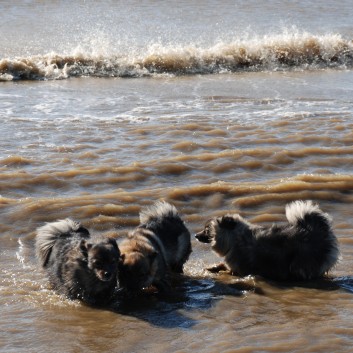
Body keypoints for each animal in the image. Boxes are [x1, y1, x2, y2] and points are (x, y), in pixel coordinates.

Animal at [194, 201, 340, 280]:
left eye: (207, 230)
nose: (195, 235)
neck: (234, 239)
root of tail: (317, 229)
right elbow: (220, 265)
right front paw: (211, 268)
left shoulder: (238, 270)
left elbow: (226, 270)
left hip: (301, 261)